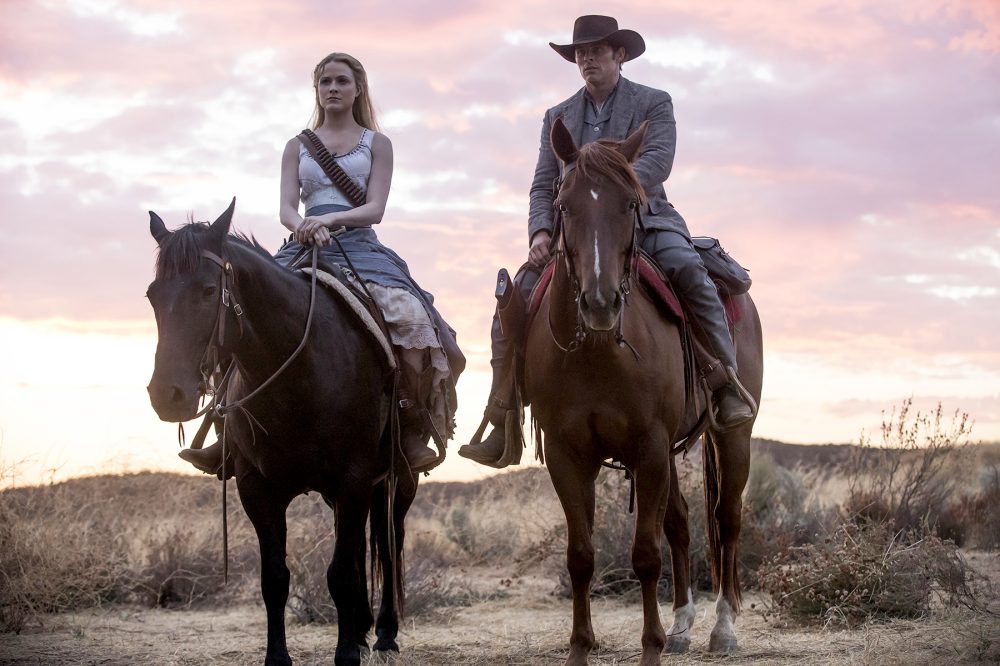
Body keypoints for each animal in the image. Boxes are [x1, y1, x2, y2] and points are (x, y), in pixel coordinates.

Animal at [145, 201, 414, 664]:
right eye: (152, 295)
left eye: (207, 290)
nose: (168, 395)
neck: (299, 373)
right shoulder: (257, 487)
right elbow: (275, 577)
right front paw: (279, 656)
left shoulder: (353, 478)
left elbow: (341, 573)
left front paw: (346, 654)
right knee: (364, 546)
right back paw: (363, 629)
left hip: (398, 479)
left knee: (387, 539)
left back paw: (383, 633)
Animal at [528, 119, 760, 664]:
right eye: (564, 203)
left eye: (630, 203)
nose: (600, 303)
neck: (596, 353)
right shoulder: (569, 455)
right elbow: (581, 555)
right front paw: (580, 647)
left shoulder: (649, 448)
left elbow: (645, 555)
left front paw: (650, 647)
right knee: (681, 521)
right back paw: (681, 626)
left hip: (729, 436)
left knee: (727, 518)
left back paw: (722, 628)